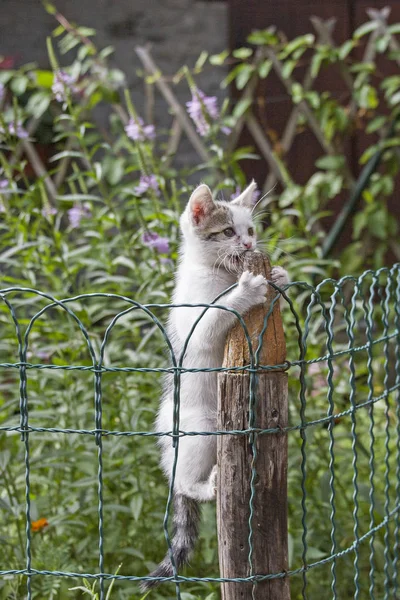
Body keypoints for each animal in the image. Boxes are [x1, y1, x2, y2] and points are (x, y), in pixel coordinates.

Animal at [142, 179, 290, 592]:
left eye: (250, 230)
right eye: (227, 232)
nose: (249, 245)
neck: (222, 273)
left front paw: (279, 276)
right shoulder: (198, 322)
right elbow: (218, 315)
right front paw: (246, 292)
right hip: (202, 427)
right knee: (179, 480)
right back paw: (202, 486)